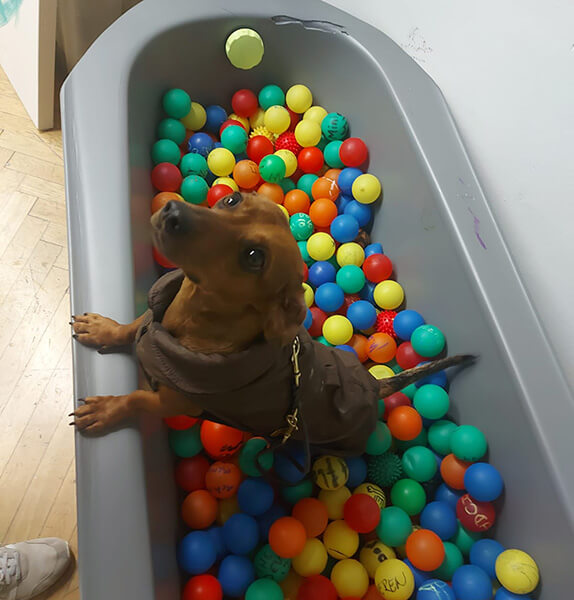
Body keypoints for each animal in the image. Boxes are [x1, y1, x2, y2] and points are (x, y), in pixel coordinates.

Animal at [71, 192, 471, 456]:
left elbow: (137, 399)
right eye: (231, 200)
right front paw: (104, 329)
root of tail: (375, 387)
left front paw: (107, 409)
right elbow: (132, 325)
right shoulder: (154, 315)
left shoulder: (173, 403)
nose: (171, 211)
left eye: (253, 257)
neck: (193, 314)